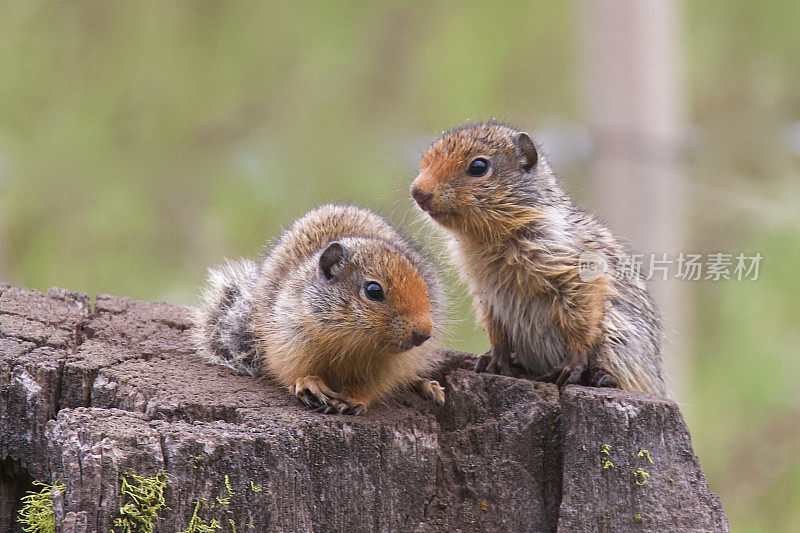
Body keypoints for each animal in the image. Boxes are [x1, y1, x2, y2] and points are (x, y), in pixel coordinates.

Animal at [191, 202, 446, 414]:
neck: (351, 343)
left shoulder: (387, 367)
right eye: (374, 290)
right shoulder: (288, 340)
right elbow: (292, 370)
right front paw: (311, 384)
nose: (424, 334)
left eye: (424, 285)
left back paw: (427, 386)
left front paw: (353, 400)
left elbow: (371, 386)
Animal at [410, 121, 664, 394]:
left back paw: (602, 377)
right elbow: (496, 329)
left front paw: (572, 367)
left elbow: (580, 321)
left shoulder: (577, 274)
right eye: (425, 160)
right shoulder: (486, 294)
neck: (487, 240)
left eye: (478, 167)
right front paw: (493, 359)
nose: (417, 192)